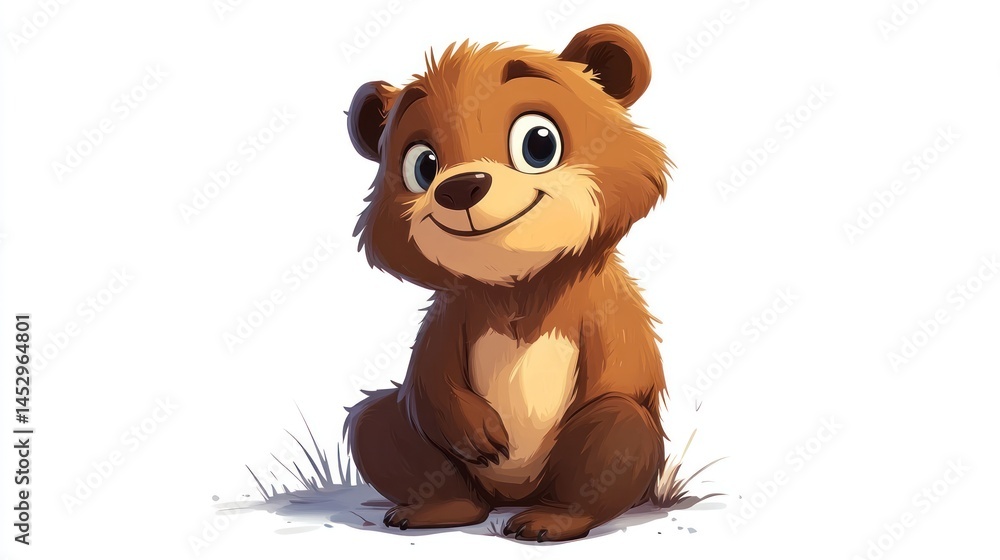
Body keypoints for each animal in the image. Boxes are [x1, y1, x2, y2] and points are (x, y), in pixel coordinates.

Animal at [344, 24, 671, 542]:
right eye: (423, 165)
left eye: (539, 142)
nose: (460, 187)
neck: (517, 288)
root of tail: (511, 498)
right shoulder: (449, 314)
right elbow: (427, 382)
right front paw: (475, 430)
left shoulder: (609, 306)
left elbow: (625, 374)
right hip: (427, 456)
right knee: (377, 422)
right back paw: (438, 510)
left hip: (605, 445)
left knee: (615, 429)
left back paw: (551, 521)